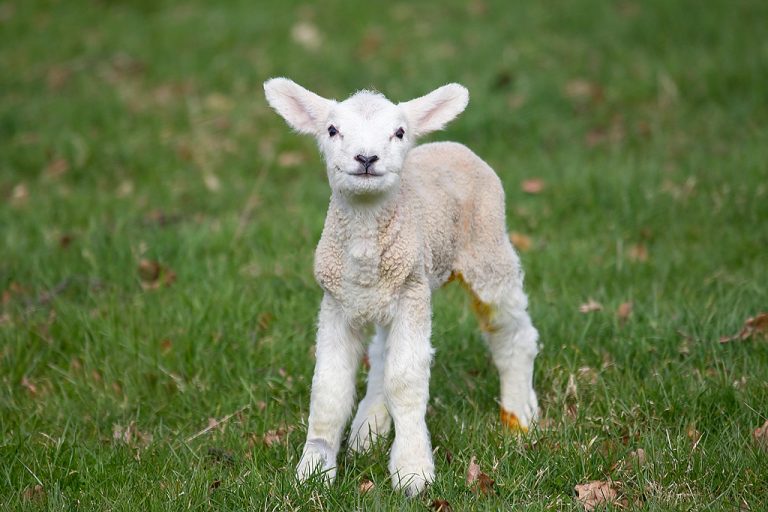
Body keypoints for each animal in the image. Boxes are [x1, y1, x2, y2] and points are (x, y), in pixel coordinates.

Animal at [263, 78, 540, 496]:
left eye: (399, 132)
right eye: (332, 130)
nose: (366, 158)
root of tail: (452, 145)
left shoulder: (412, 295)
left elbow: (406, 380)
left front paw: (413, 471)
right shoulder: (337, 302)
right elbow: (329, 387)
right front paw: (313, 469)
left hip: (487, 252)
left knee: (513, 330)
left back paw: (519, 411)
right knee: (381, 352)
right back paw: (368, 428)